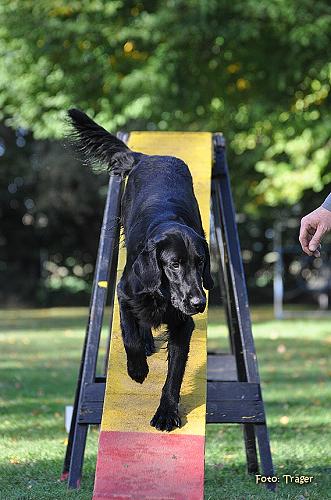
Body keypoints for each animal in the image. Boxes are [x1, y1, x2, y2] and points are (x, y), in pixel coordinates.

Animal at [69, 109, 215, 430]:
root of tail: (147, 157)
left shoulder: (183, 324)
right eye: (174, 264)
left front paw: (167, 412)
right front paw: (137, 368)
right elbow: (129, 335)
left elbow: (174, 375)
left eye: (200, 262)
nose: (198, 303)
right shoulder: (125, 293)